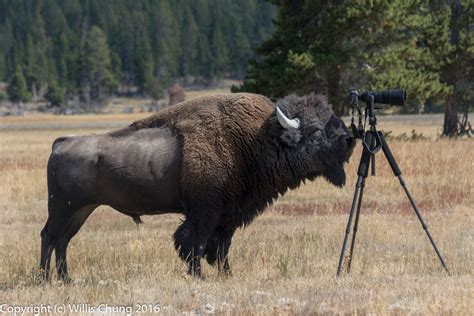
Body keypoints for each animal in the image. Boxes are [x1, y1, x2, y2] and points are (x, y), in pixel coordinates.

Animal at [39, 92, 352, 280]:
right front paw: (199, 275)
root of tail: (61, 142)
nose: (349, 140)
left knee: (63, 240)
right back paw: (44, 278)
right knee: (50, 237)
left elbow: (222, 247)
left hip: (82, 209)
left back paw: (65, 279)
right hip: (63, 208)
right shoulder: (205, 211)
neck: (254, 140)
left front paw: (226, 275)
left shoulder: (228, 215)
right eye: (316, 130)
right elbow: (195, 242)